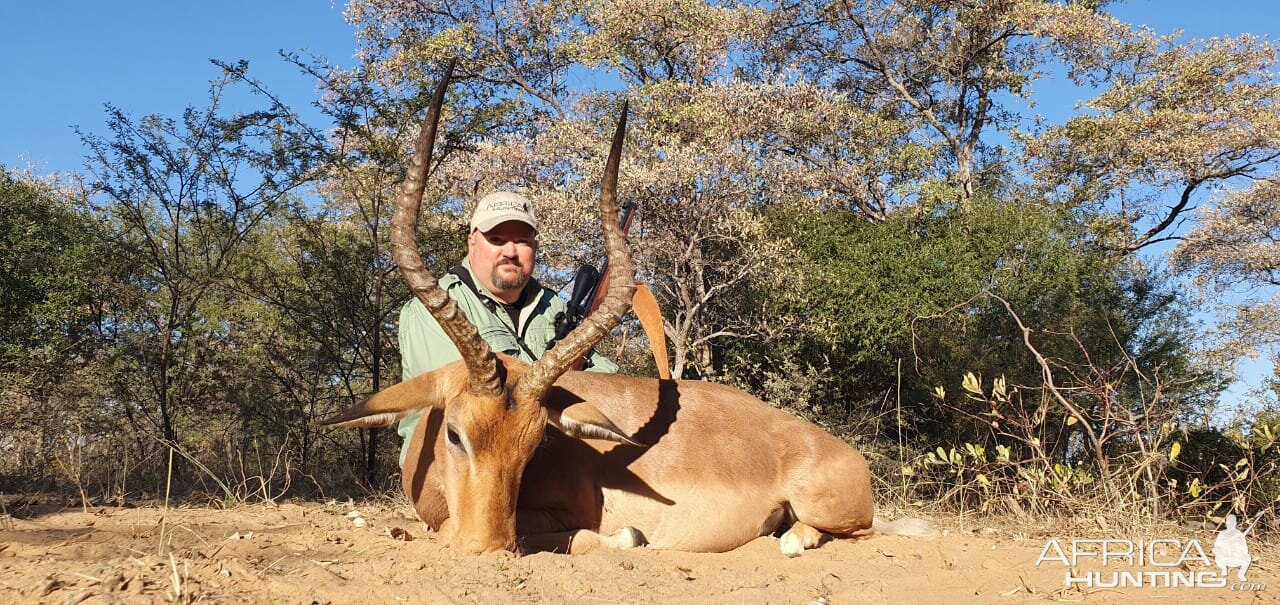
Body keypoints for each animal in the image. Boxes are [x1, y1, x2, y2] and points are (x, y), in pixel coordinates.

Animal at [317, 61, 880, 557]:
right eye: (455, 434)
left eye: (534, 446)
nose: (489, 548)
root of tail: (843, 453)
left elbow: (615, 536)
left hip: (835, 514)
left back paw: (790, 540)